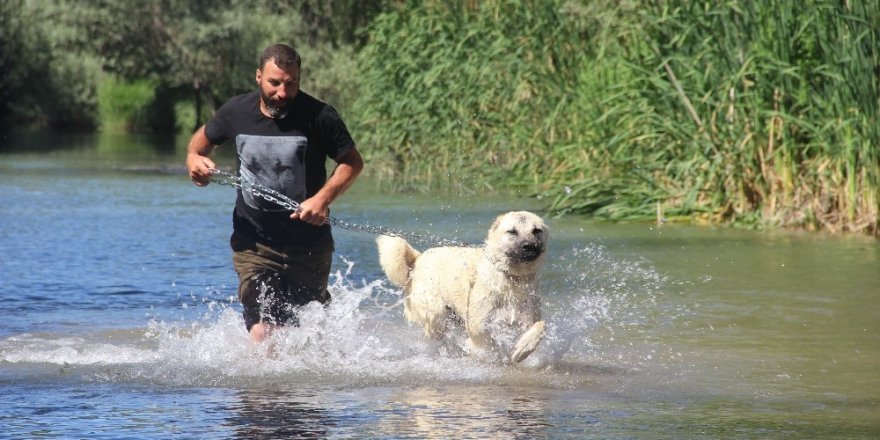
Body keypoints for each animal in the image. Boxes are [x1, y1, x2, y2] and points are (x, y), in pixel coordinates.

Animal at [374, 211, 548, 362]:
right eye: (512, 231)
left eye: (536, 230)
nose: (528, 246)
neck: (513, 279)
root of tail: (417, 259)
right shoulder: (479, 323)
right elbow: (485, 340)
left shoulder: (527, 318)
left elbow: (540, 327)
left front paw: (522, 349)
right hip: (436, 314)